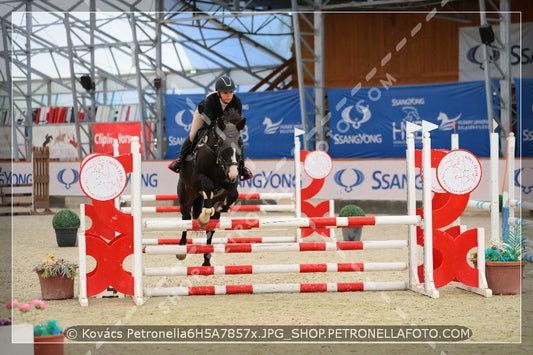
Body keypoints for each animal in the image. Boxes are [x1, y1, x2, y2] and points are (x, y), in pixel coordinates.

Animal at [178, 109, 246, 268]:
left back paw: (207, 260)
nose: (232, 172)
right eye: (221, 142)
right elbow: (207, 185)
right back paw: (181, 249)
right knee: (185, 218)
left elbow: (233, 194)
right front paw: (203, 218)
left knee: (210, 231)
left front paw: (223, 206)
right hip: (185, 196)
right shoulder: (198, 178)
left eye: (240, 142)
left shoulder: (231, 180)